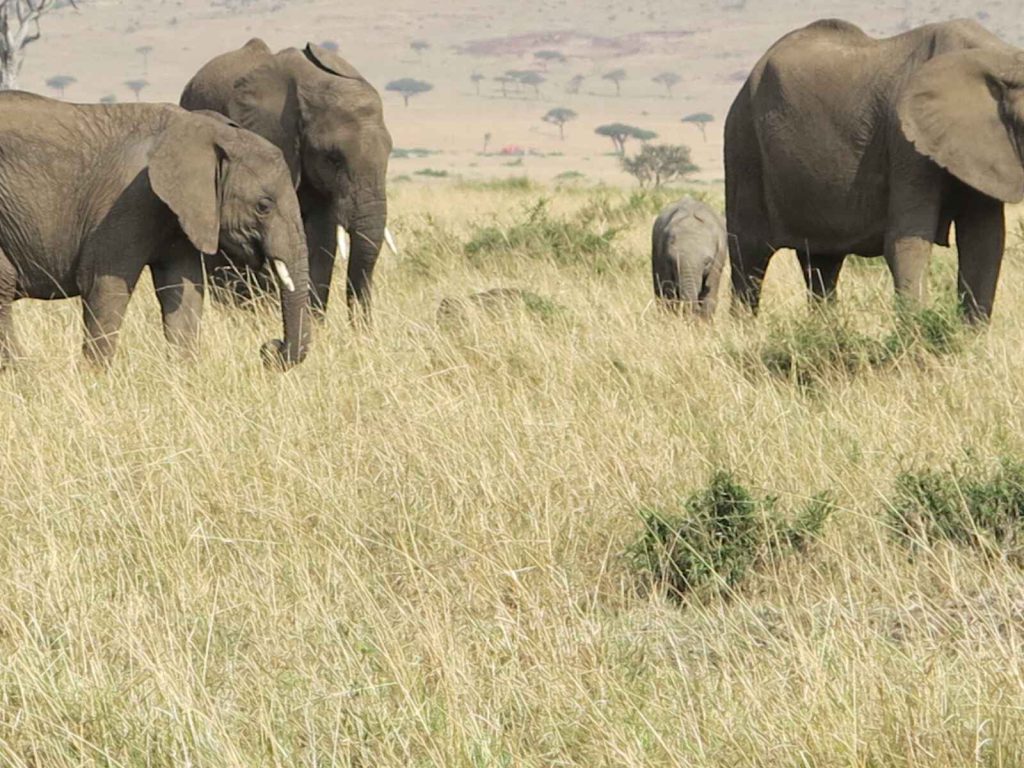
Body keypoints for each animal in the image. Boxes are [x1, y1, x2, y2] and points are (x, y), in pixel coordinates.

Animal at [0, 91, 310, 368]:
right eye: (263, 206)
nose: (270, 348)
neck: (208, 131)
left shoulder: (183, 216)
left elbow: (184, 291)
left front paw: (184, 375)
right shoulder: (126, 202)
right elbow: (104, 285)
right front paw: (95, 379)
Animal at [725, 18, 1024, 322]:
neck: (999, 57)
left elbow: (984, 244)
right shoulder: (904, 142)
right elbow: (907, 242)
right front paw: (917, 330)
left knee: (822, 262)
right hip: (743, 142)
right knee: (749, 255)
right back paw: (745, 328)